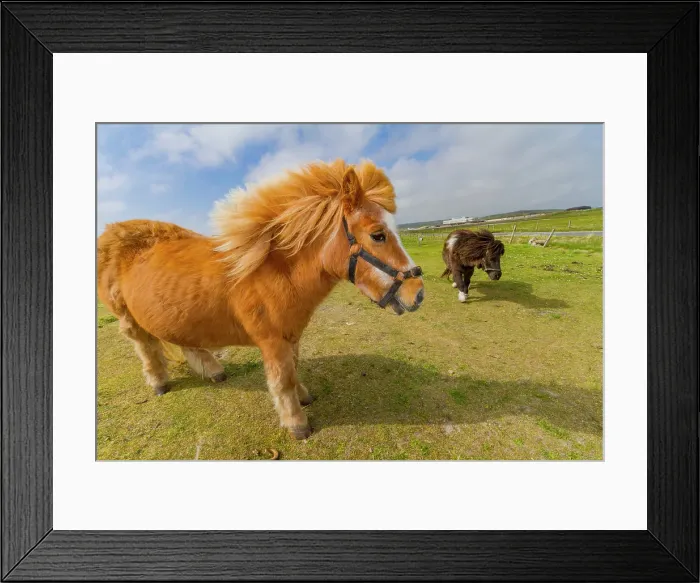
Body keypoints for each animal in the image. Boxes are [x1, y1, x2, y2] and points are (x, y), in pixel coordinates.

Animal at [97, 159, 425, 440]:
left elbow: (294, 371)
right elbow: (283, 380)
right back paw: (159, 383)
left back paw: (212, 371)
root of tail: (111, 233)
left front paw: (303, 398)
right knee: (147, 348)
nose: (418, 293)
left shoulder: (291, 337)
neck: (276, 271)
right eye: (378, 235)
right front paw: (297, 424)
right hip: (128, 318)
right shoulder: (272, 342)